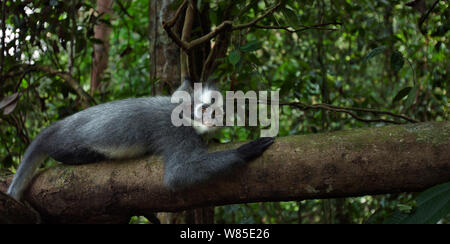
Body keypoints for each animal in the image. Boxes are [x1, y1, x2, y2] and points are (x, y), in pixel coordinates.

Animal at [7, 79, 274, 201]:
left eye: (218, 111)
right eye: (206, 108)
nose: (213, 118)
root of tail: (57, 127)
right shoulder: (176, 132)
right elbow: (178, 175)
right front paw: (247, 150)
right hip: (66, 144)